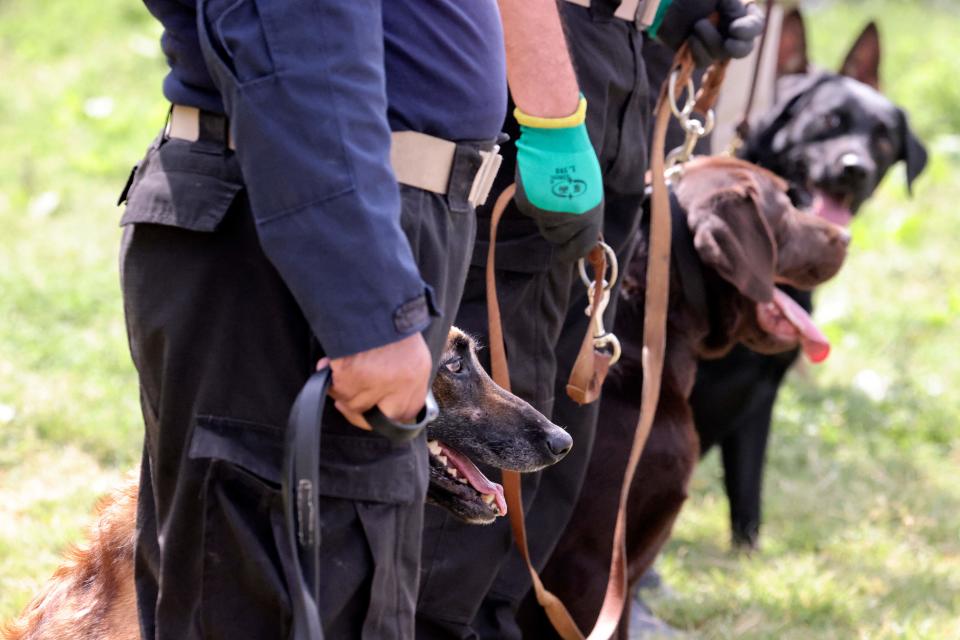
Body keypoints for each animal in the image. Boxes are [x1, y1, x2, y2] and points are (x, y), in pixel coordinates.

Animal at [688, 8, 928, 552]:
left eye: (883, 138)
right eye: (828, 122)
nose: (853, 168)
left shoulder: (761, 394)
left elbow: (747, 488)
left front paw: (748, 557)